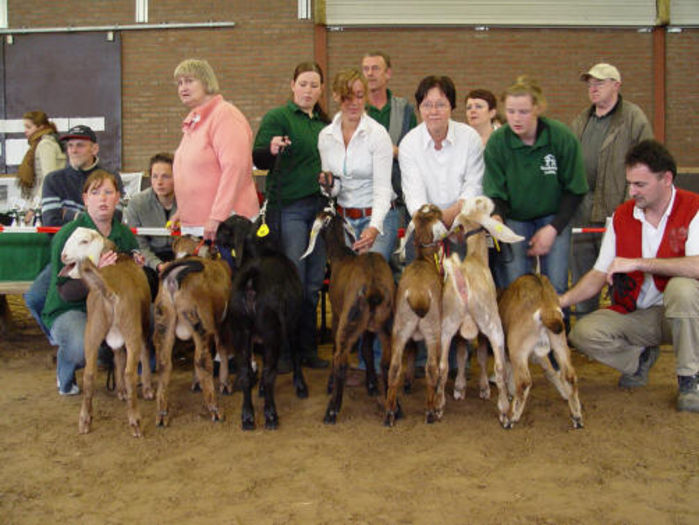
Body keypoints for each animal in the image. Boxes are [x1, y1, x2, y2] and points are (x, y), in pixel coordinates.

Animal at [60, 227, 153, 436]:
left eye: (84, 241)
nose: (63, 256)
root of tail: (109, 291)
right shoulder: (143, 324)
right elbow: (141, 354)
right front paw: (146, 389)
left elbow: (117, 356)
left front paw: (120, 391)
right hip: (131, 328)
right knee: (130, 373)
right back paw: (135, 422)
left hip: (92, 332)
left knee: (89, 374)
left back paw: (85, 421)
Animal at [216, 214, 308, 430]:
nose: (214, 235)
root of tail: (251, 281)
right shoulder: (292, 322)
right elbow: (295, 354)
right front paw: (300, 386)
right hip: (271, 332)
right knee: (268, 374)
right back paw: (271, 416)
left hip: (240, 332)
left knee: (245, 374)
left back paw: (248, 417)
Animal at [382, 203, 448, 424]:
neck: (424, 260)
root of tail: (418, 295)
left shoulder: (408, 336)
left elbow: (410, 354)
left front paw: (409, 382)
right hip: (433, 330)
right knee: (431, 369)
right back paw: (430, 411)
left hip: (400, 329)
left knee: (394, 368)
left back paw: (390, 413)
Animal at [442, 196, 524, 426]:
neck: (476, 257)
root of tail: (463, 282)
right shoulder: (483, 333)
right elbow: (480, 357)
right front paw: (484, 389)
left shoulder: (460, 334)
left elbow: (462, 356)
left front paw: (459, 388)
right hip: (492, 325)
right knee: (499, 367)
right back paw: (505, 412)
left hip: (447, 325)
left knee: (441, 366)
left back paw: (437, 407)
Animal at [500, 272, 584, 428]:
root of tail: (545, 306)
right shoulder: (539, 354)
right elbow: (549, 371)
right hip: (559, 343)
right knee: (569, 375)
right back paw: (576, 416)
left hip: (518, 348)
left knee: (524, 381)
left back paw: (510, 418)